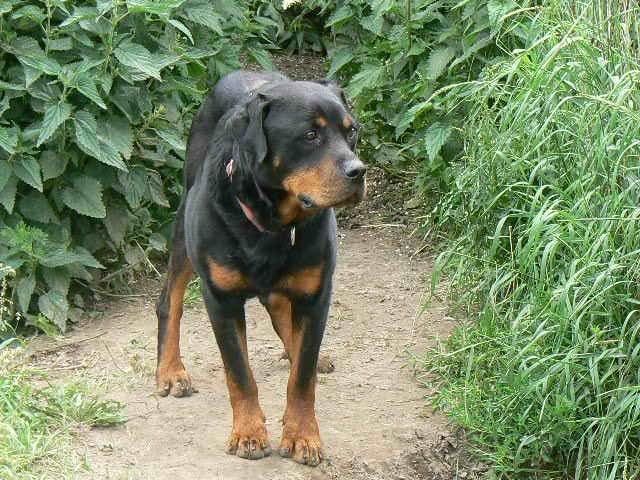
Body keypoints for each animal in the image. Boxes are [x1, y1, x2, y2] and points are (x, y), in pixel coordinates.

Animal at [154, 70, 366, 466]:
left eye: (352, 133)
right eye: (310, 135)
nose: (358, 171)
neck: (274, 224)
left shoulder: (317, 294)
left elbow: (302, 377)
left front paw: (302, 435)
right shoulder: (220, 299)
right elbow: (239, 372)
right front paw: (248, 433)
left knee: (280, 308)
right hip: (183, 232)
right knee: (168, 301)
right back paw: (170, 371)